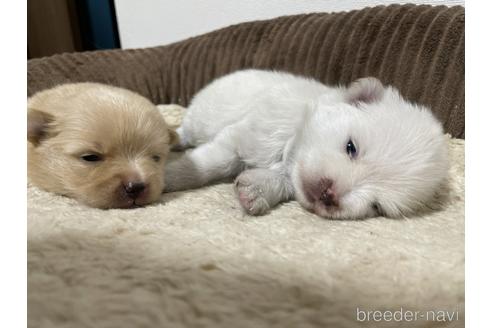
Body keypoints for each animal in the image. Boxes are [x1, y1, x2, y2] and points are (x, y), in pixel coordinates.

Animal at [163, 69, 448, 219]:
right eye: (351, 148)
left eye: (376, 206)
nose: (329, 195)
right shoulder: (242, 137)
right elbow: (209, 163)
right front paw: (169, 177)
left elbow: (282, 182)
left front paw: (255, 190)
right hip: (197, 118)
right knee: (185, 132)